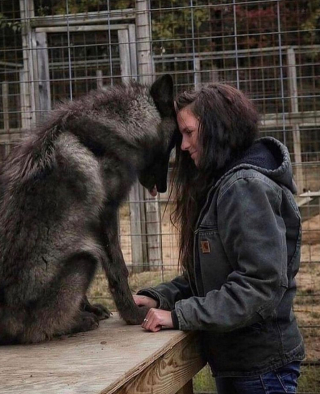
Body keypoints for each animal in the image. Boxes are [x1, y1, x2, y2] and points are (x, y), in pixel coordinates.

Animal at [0, 74, 176, 344]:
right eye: (174, 142)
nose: (165, 187)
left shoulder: (92, 225)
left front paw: (89, 308)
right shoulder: (104, 216)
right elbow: (118, 269)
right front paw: (133, 315)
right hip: (85, 258)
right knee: (36, 332)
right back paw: (75, 323)